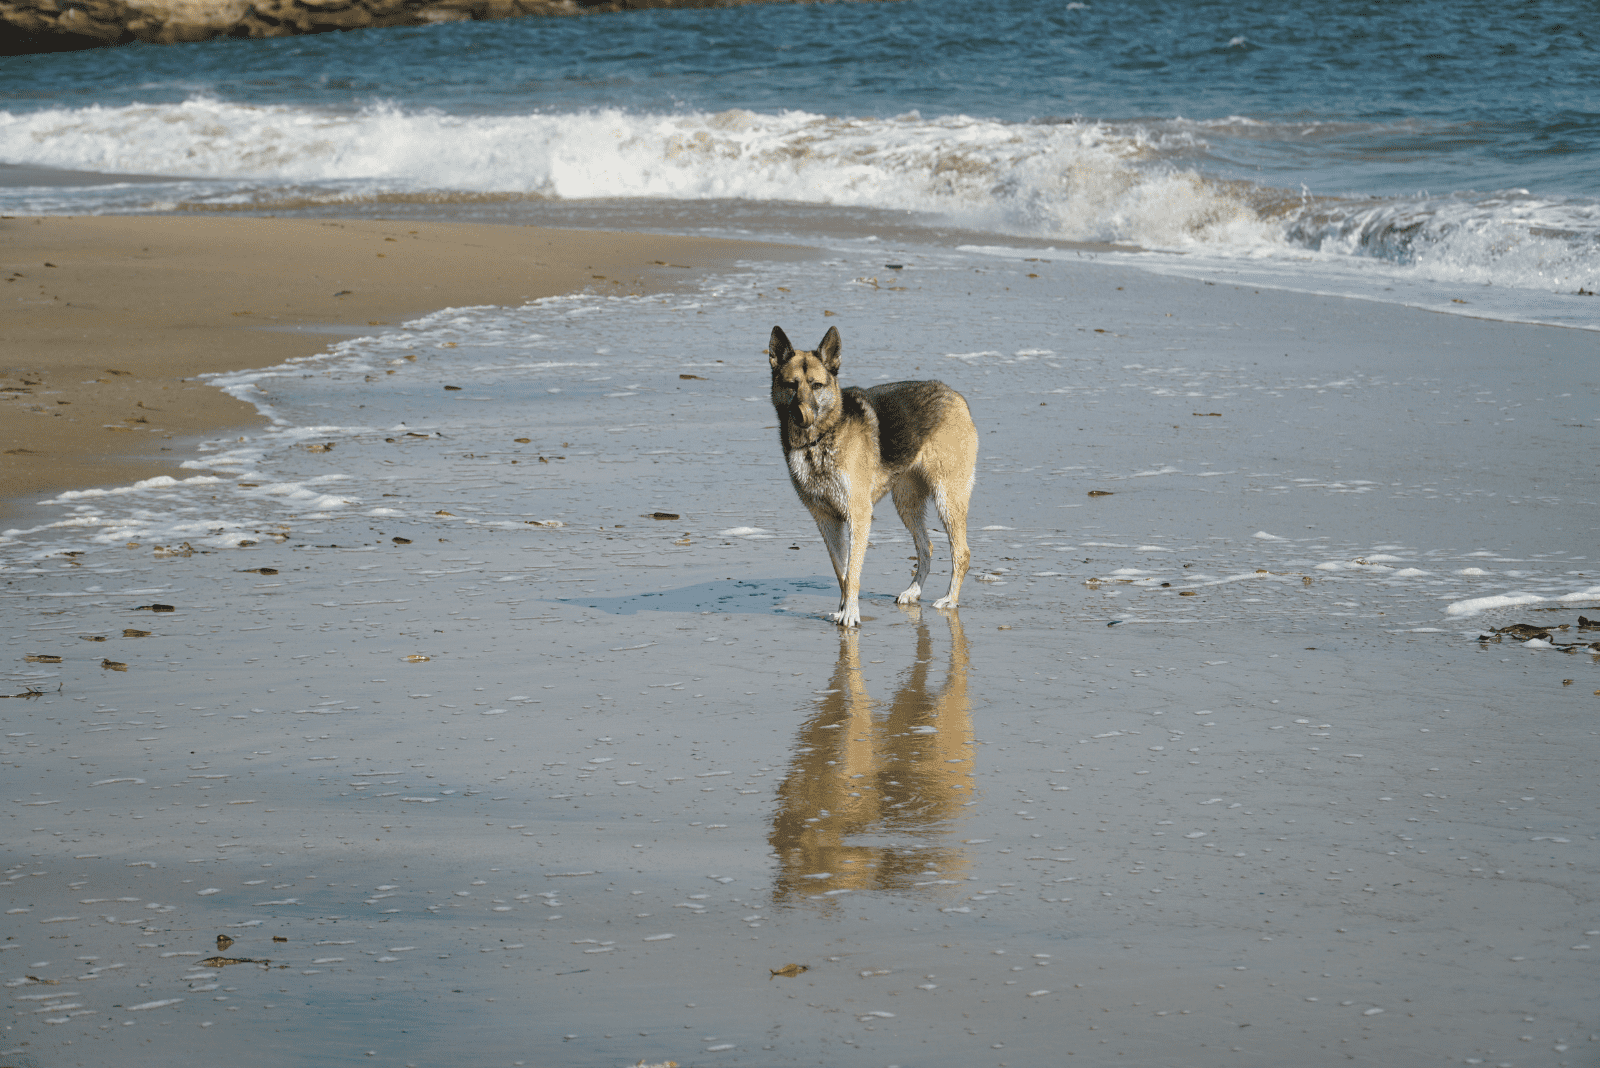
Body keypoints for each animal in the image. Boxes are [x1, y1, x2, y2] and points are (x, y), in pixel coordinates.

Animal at [764, 326, 972, 626]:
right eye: (792, 385)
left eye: (816, 386)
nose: (802, 417)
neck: (819, 440)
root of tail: (953, 394)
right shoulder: (826, 521)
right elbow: (841, 572)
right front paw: (843, 609)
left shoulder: (858, 515)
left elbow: (852, 573)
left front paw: (850, 614)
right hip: (907, 503)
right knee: (926, 547)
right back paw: (913, 591)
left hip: (948, 499)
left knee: (961, 552)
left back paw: (950, 600)